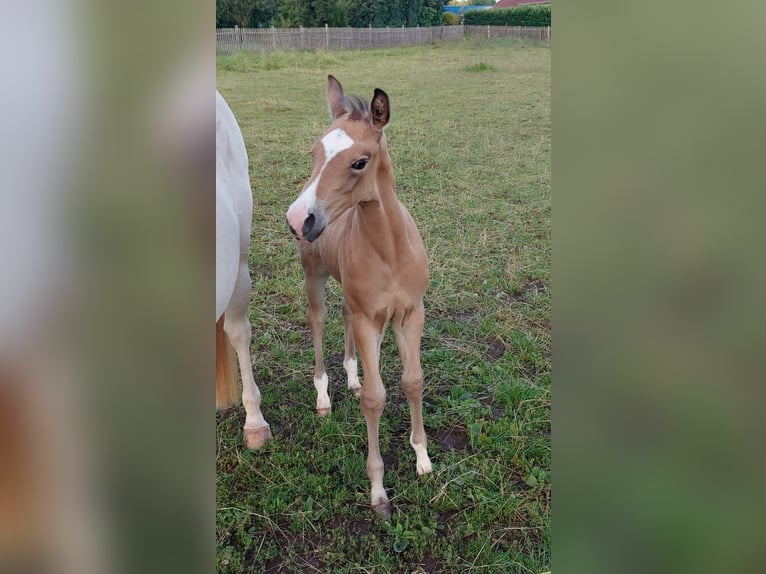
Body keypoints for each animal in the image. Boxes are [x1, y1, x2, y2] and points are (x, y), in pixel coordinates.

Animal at [286, 76, 432, 516]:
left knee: (344, 316)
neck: (391, 250)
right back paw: (324, 396)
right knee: (318, 321)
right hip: (314, 276)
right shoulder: (372, 320)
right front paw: (378, 490)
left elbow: (413, 381)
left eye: (359, 162)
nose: (298, 218)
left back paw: (350, 375)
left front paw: (423, 458)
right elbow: (375, 397)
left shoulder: (410, 314)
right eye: (315, 153)